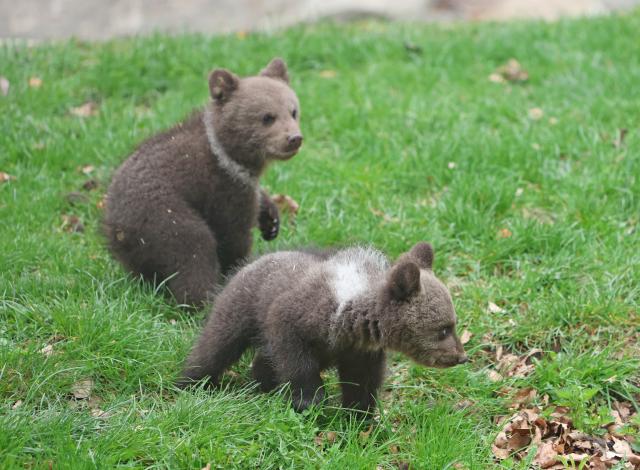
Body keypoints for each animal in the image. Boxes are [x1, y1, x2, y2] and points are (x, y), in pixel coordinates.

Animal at [103, 58, 303, 306]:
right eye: (267, 117)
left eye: (293, 111)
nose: (294, 139)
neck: (229, 154)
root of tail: (115, 224)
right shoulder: (224, 189)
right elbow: (234, 236)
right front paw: (241, 269)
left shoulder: (243, 182)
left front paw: (271, 221)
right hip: (162, 214)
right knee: (193, 248)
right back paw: (205, 299)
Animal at [178, 242, 468, 413]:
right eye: (444, 329)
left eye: (452, 324)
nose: (462, 357)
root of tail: (255, 260)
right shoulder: (292, 322)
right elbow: (298, 365)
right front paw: (309, 402)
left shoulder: (359, 352)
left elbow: (361, 384)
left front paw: (360, 418)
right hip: (239, 311)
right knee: (216, 347)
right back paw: (190, 383)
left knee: (264, 360)